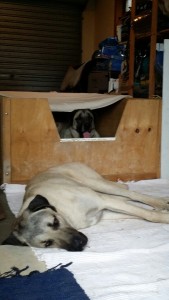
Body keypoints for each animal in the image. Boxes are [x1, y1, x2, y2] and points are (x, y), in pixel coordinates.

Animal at [2, 163, 169, 250]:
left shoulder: (103, 201)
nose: (79, 243)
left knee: (130, 192)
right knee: (125, 196)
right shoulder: (105, 212)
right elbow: (138, 213)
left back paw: (160, 202)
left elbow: (148, 214)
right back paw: (163, 202)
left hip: (94, 183)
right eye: (47, 243)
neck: (65, 212)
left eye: (55, 222)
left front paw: (162, 215)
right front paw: (162, 213)